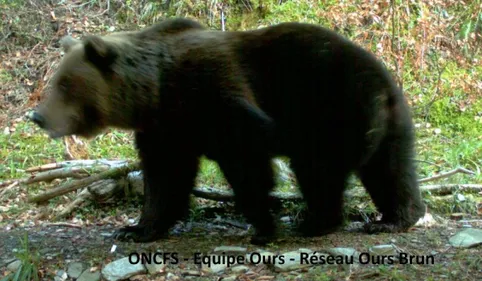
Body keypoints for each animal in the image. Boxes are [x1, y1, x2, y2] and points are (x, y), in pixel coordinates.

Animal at [29, 18, 426, 245]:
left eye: (63, 84)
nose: (38, 116)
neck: (155, 91)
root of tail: (384, 85)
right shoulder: (165, 128)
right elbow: (165, 177)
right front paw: (136, 229)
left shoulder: (215, 98)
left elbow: (247, 165)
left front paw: (263, 226)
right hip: (391, 124)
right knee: (392, 171)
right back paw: (394, 218)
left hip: (332, 109)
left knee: (319, 170)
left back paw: (316, 221)